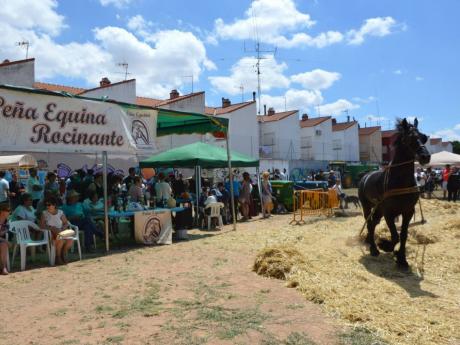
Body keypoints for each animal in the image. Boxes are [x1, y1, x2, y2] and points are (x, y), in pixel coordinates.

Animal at [360, 118, 432, 268]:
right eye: (410, 138)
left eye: (424, 137)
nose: (425, 157)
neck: (400, 181)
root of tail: (365, 175)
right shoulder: (389, 213)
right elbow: (395, 236)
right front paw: (385, 246)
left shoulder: (408, 211)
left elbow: (403, 235)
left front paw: (402, 258)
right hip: (367, 206)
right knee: (369, 224)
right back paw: (374, 249)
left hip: (378, 210)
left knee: (373, 224)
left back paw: (369, 240)